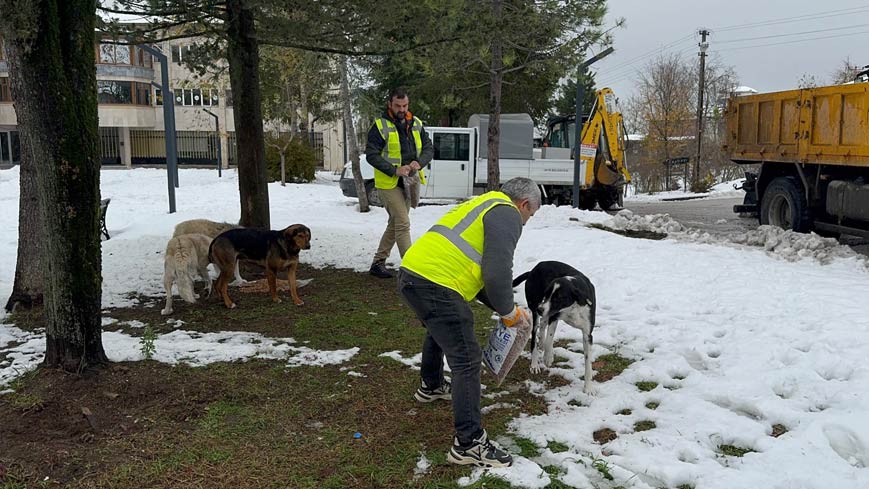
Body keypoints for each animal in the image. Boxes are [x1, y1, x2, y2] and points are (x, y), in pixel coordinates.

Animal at [512, 262, 592, 390]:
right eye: (547, 294)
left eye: (558, 298)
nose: (540, 309)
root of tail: (532, 270)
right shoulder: (553, 317)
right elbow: (549, 339)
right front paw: (547, 358)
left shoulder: (587, 333)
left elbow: (588, 361)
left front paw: (589, 388)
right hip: (535, 312)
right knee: (534, 337)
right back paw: (535, 364)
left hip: (544, 314)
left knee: (542, 327)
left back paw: (541, 344)